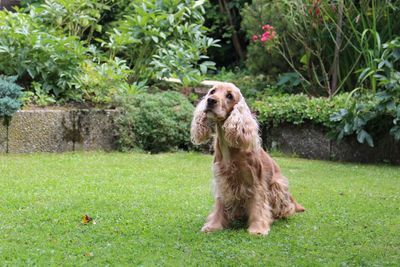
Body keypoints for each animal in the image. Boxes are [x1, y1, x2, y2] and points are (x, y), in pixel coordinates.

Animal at [190, 82, 304, 236]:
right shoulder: (222, 180)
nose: (210, 100)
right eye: (212, 91)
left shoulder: (255, 182)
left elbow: (258, 205)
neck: (229, 148)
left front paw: (258, 229)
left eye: (229, 96)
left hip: (278, 185)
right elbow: (220, 204)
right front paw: (213, 225)